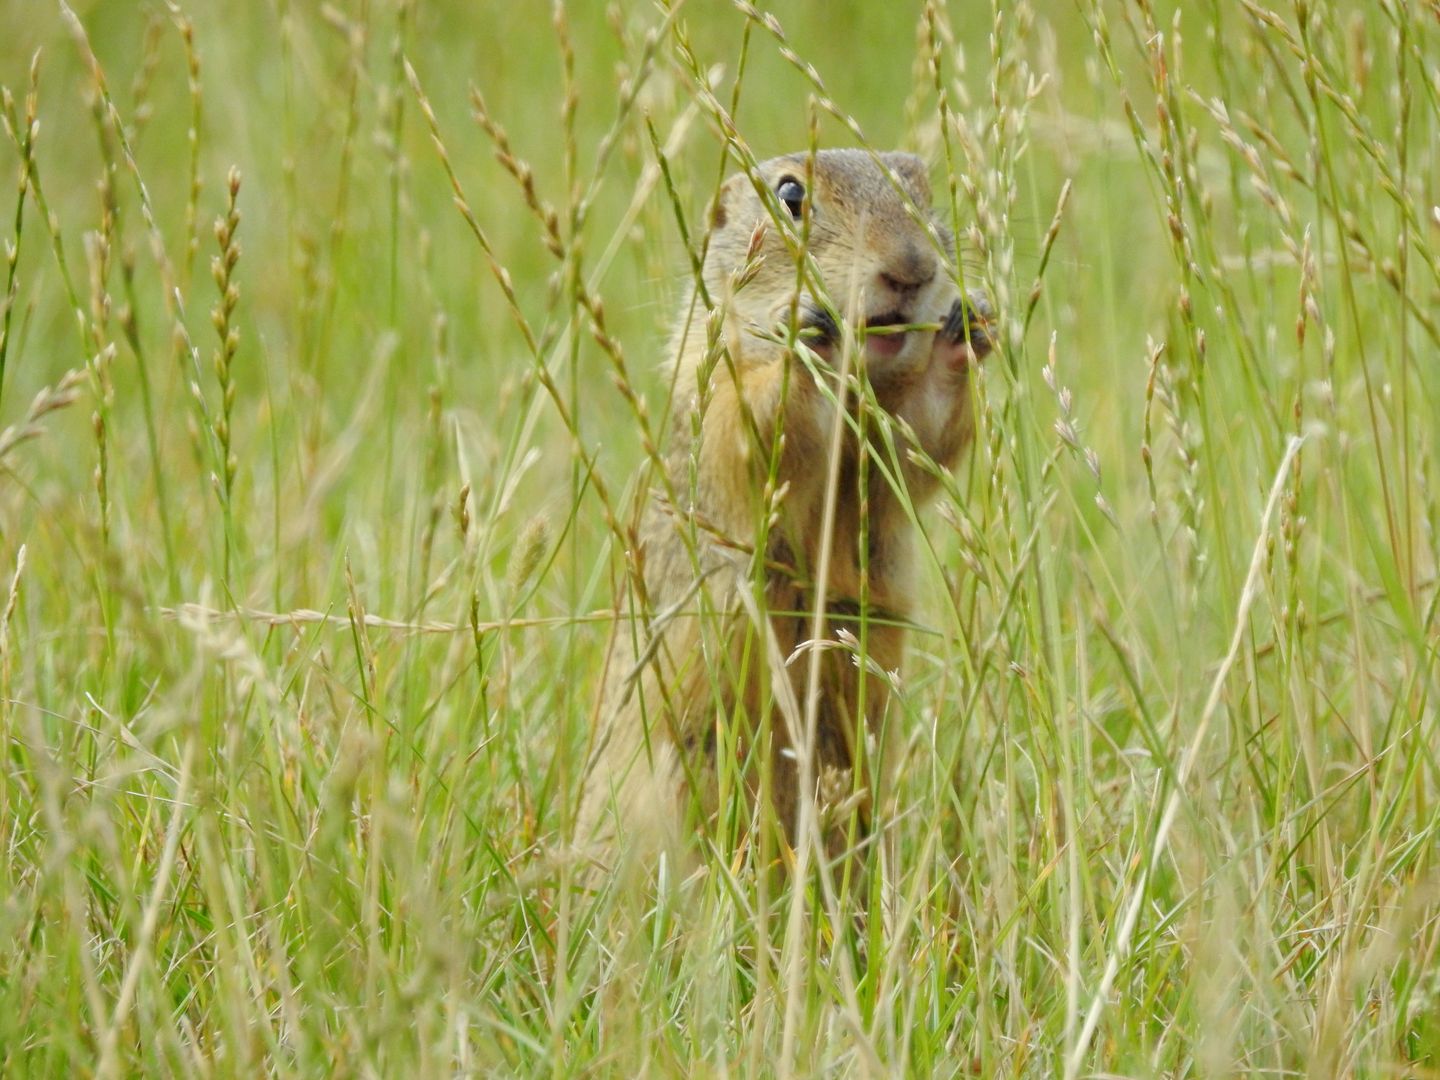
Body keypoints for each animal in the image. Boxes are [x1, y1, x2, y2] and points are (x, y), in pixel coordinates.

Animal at [576, 148, 990, 869]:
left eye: (922, 186)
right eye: (790, 195)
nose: (912, 268)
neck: (856, 386)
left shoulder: (884, 438)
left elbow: (918, 440)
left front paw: (960, 331)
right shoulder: (713, 371)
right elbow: (753, 424)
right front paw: (806, 336)